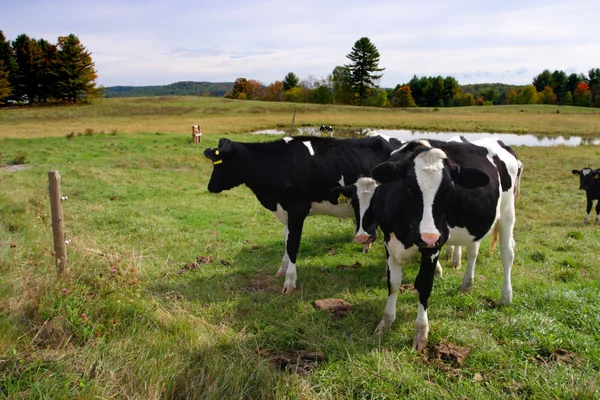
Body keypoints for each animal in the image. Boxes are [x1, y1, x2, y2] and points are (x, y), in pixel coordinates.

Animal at [204, 134, 406, 294]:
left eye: (220, 163)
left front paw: (289, 282)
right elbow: (286, 242)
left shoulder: (296, 210)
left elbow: (292, 245)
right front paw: (282, 270)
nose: (210, 187)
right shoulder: (285, 212)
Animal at [330, 138, 524, 350]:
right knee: (473, 250)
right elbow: (393, 282)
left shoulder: (434, 246)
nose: (428, 236)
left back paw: (506, 296)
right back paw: (466, 284)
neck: (404, 231)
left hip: (507, 213)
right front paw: (386, 321)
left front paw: (421, 332)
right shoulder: (389, 242)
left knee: (507, 253)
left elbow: (423, 285)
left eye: (448, 191)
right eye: (408, 188)